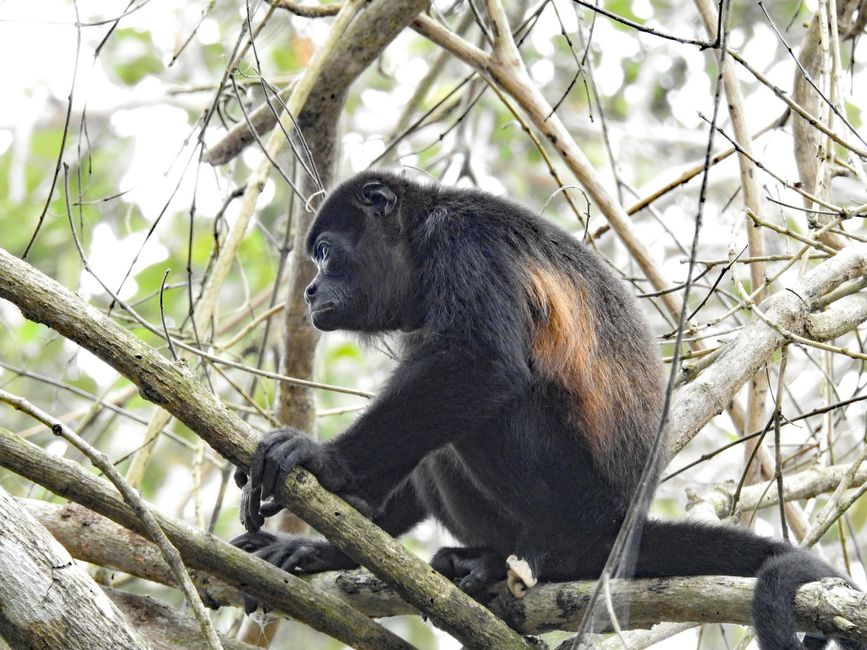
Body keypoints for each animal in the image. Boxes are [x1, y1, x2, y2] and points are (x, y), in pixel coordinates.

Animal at [232, 170, 864, 650]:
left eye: (324, 253)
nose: (310, 291)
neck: (419, 239)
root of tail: (621, 520)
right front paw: (323, 544)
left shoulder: (464, 245)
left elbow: (479, 366)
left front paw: (321, 462)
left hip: (571, 503)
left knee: (499, 405)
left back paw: (521, 560)